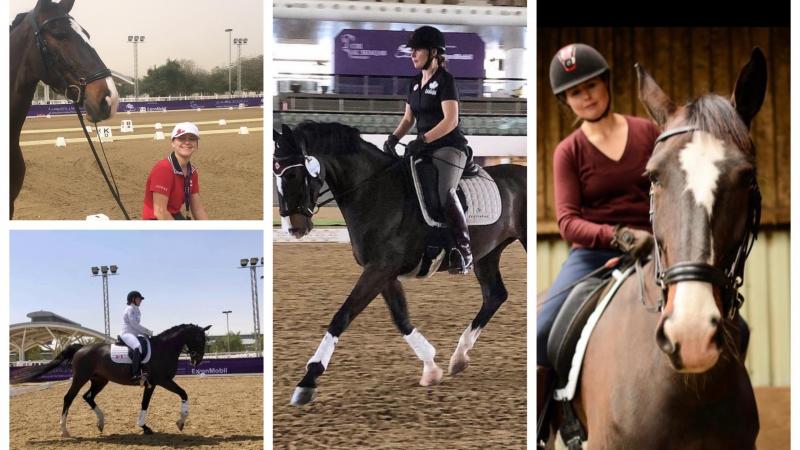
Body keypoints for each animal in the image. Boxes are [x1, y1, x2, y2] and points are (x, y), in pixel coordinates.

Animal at [11, 324, 212, 436]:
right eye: (198, 338)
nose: (197, 360)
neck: (163, 348)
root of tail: (81, 348)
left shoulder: (152, 384)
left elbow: (145, 404)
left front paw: (144, 427)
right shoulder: (162, 381)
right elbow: (183, 393)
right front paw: (181, 422)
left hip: (99, 380)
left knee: (88, 397)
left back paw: (100, 423)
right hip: (81, 378)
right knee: (69, 398)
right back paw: (64, 431)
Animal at [272, 121, 528, 406]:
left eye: (293, 175)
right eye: (275, 172)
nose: (293, 228)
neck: (374, 192)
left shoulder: (380, 269)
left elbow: (342, 316)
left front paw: (308, 381)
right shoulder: (382, 271)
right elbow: (400, 317)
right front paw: (431, 368)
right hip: (488, 253)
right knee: (495, 295)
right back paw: (459, 357)